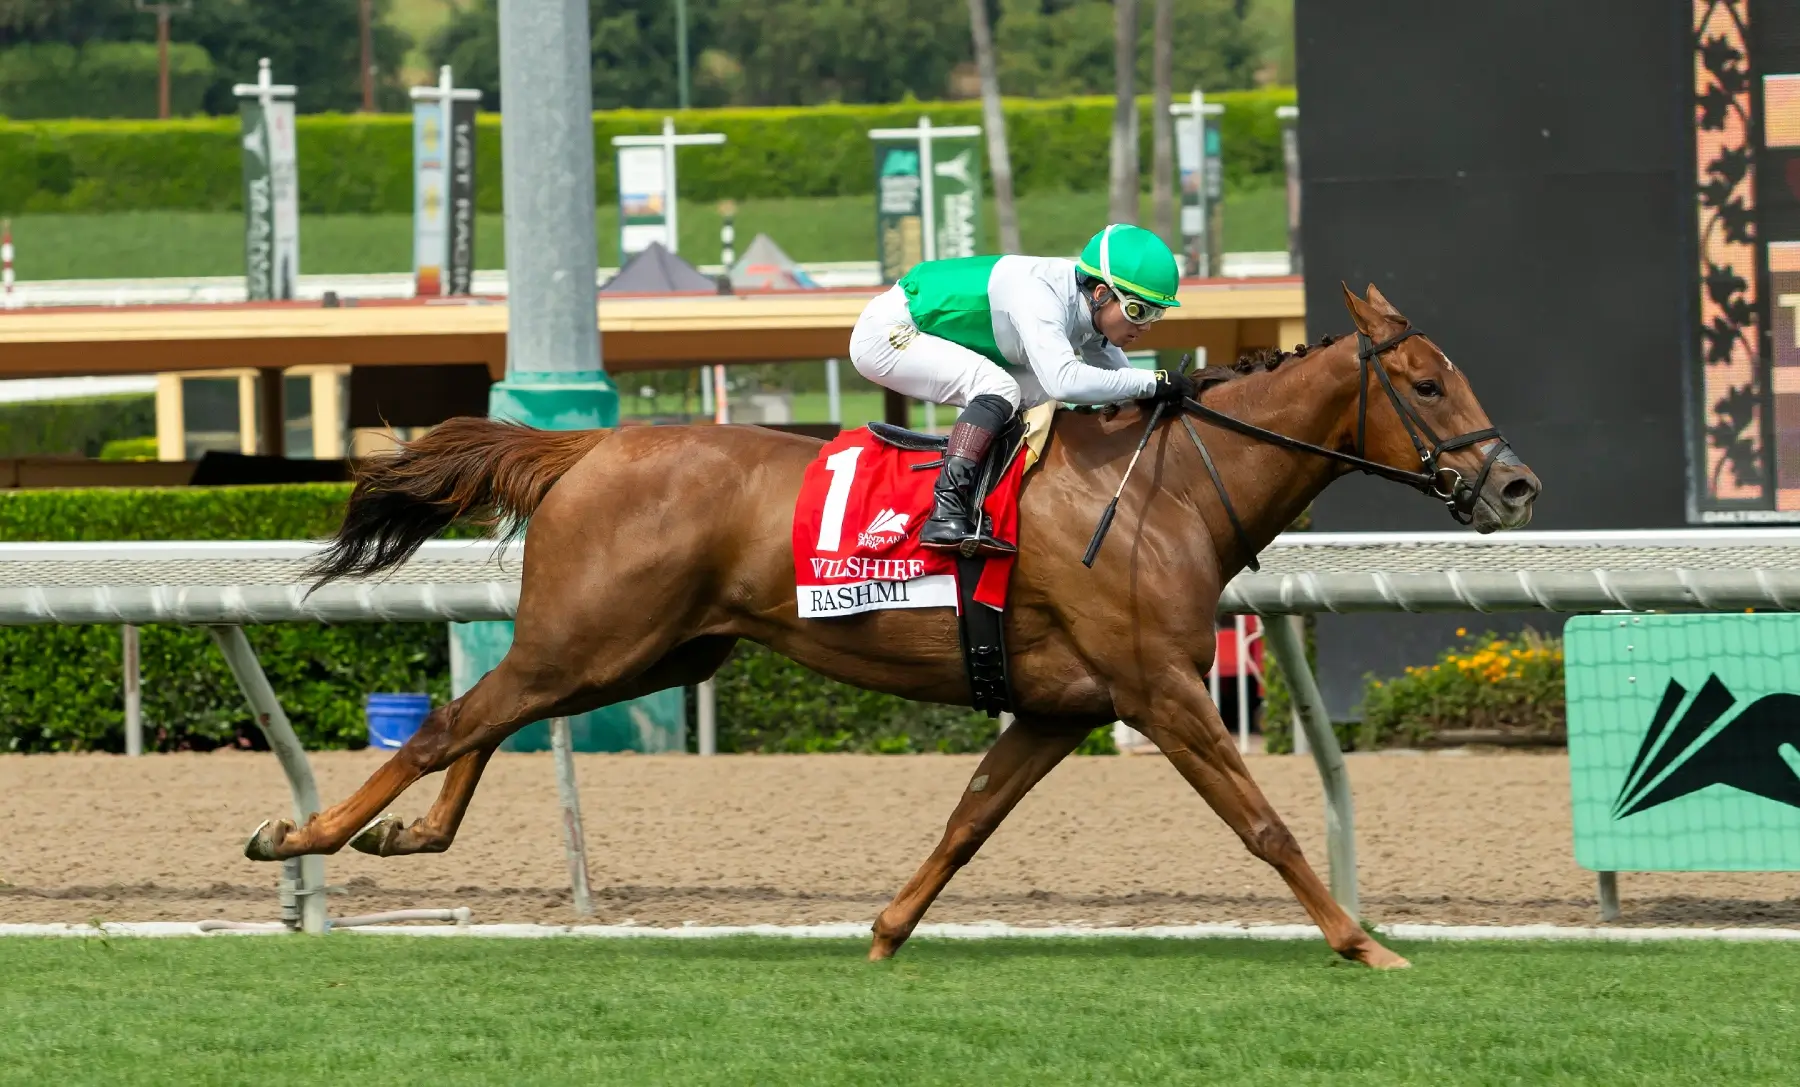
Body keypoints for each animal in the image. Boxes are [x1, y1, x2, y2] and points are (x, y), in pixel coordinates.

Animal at [249, 283, 1540, 969]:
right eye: (1428, 384)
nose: (1516, 484)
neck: (1164, 490)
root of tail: (588, 445)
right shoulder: (1161, 691)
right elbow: (1265, 824)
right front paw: (1364, 941)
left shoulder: (1059, 707)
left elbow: (967, 822)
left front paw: (883, 931)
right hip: (600, 635)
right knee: (451, 720)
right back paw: (304, 834)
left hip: (648, 650)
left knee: (487, 718)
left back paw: (407, 835)